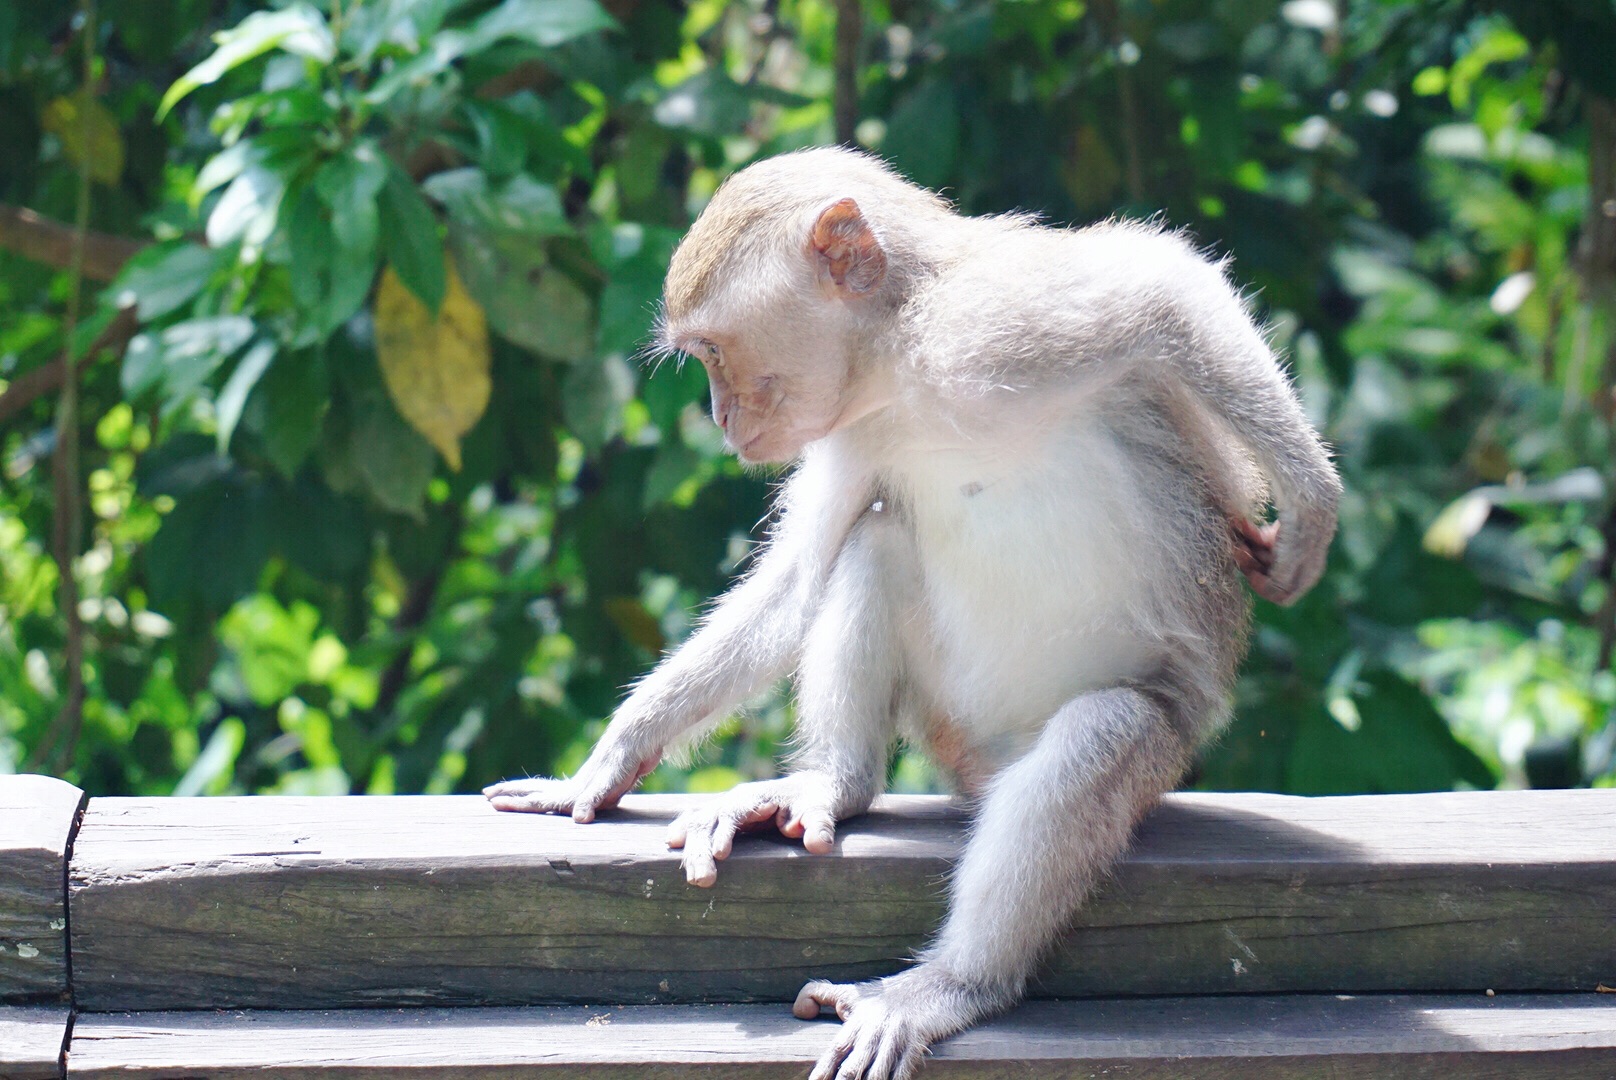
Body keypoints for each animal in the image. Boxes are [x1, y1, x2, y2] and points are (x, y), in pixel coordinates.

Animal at [478, 145, 1338, 1080]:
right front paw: (602, 765)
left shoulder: (994, 327)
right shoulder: (853, 431)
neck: (901, 371)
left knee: (1102, 733)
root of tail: (984, 765)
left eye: (711, 352)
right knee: (876, 543)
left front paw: (1311, 502)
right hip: (948, 714)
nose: (720, 417)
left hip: (1153, 746)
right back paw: (834, 783)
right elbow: (797, 582)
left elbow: (1164, 290)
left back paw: (950, 985)